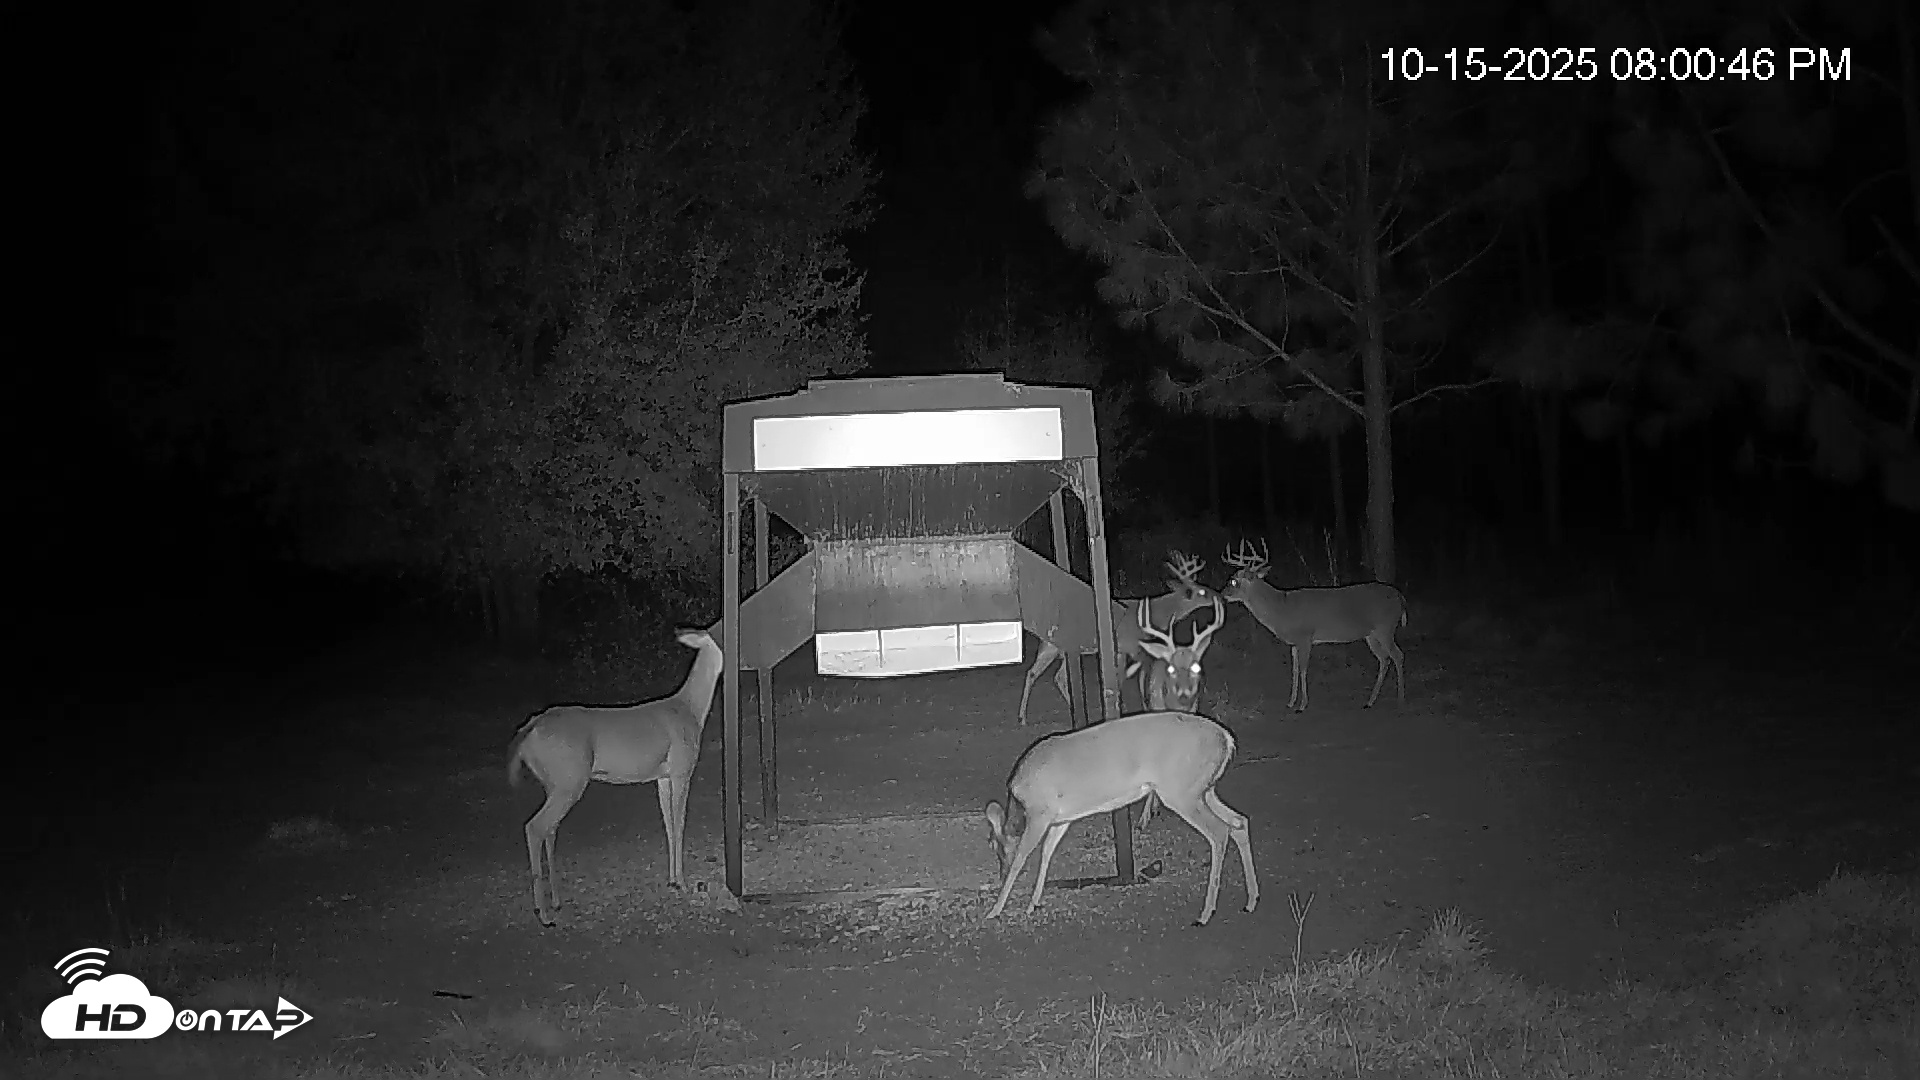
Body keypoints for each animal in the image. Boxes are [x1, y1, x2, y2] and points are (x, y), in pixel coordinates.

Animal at [506, 626, 724, 927]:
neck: (690, 709)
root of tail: (530, 728)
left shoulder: (663, 776)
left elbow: (668, 823)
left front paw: (671, 880)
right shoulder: (682, 768)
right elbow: (680, 823)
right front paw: (682, 881)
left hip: (554, 782)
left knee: (550, 829)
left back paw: (557, 902)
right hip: (570, 779)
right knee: (535, 827)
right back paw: (544, 913)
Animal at [983, 710, 1259, 926]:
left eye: (994, 846)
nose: (999, 875)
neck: (1020, 799)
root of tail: (1226, 739)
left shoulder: (1040, 812)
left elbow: (1022, 856)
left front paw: (995, 910)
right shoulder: (1061, 818)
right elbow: (1047, 853)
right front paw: (1033, 903)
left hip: (1181, 791)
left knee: (1219, 832)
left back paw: (1205, 914)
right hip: (1203, 789)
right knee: (1239, 822)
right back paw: (1251, 901)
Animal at [1017, 550, 1217, 725]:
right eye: (1202, 592)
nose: (1219, 596)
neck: (1156, 615)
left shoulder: (1121, 650)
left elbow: (1120, 678)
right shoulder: (1135, 647)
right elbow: (1137, 678)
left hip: (1056, 648)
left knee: (1042, 674)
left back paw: (1027, 717)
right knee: (1052, 676)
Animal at [1220, 539, 1407, 712]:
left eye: (1234, 581)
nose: (1222, 595)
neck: (1281, 609)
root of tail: (1400, 597)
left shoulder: (1306, 636)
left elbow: (1303, 669)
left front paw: (1302, 705)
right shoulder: (1294, 643)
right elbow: (1295, 670)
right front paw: (1290, 702)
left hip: (1386, 627)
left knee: (1398, 655)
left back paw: (1400, 700)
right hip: (1371, 634)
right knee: (1384, 658)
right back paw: (1370, 702)